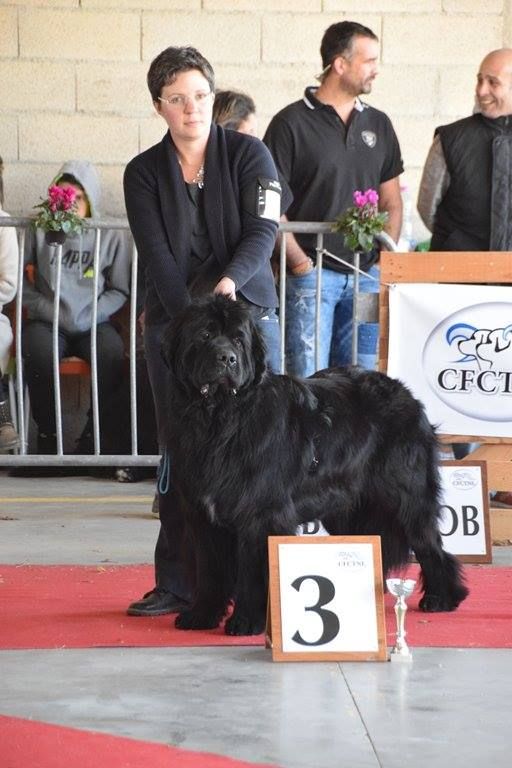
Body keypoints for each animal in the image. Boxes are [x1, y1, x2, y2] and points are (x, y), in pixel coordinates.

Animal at [163, 294, 468, 636]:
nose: (227, 358)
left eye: (239, 340)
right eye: (204, 335)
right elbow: (210, 571)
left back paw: (442, 597)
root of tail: (407, 394)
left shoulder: (260, 516)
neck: (220, 420)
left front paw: (247, 621)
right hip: (347, 509)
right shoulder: (203, 516)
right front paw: (201, 615)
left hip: (405, 497)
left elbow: (253, 572)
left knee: (429, 543)